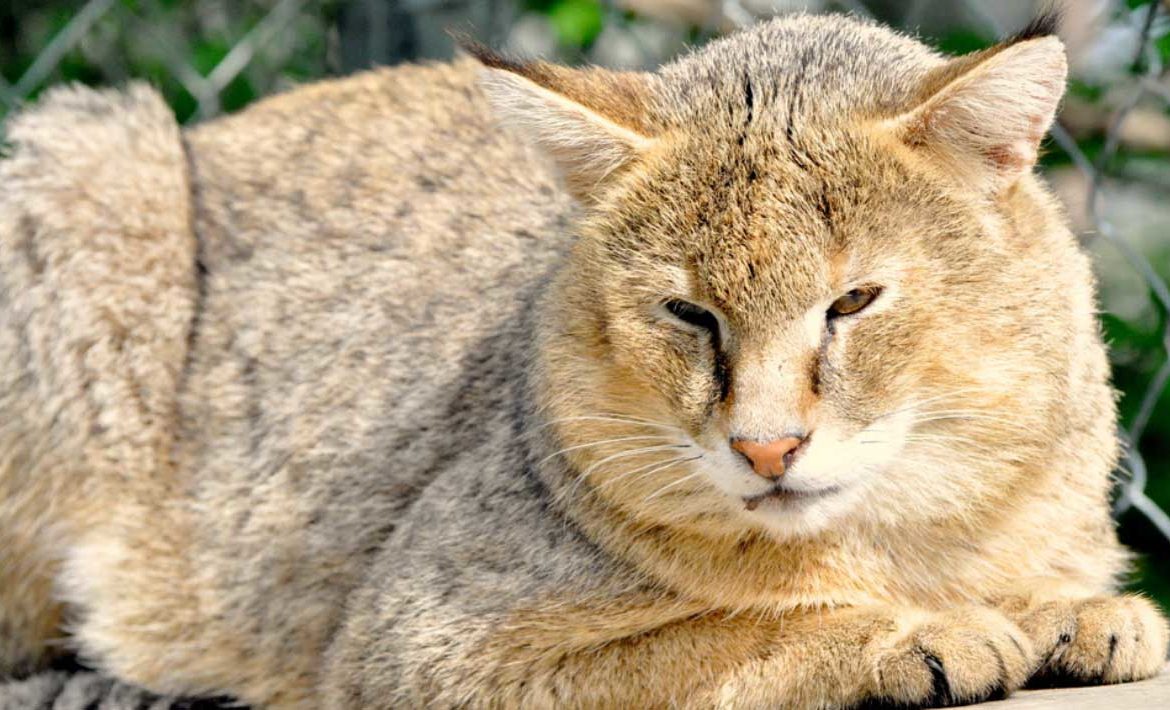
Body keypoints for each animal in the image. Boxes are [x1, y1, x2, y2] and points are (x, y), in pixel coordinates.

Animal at [2, 11, 1170, 710]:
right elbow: (712, 634)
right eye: (688, 312)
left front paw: (1060, 606)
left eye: (853, 301)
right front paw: (915, 632)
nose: (767, 449)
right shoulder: (415, 645)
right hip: (95, 164)